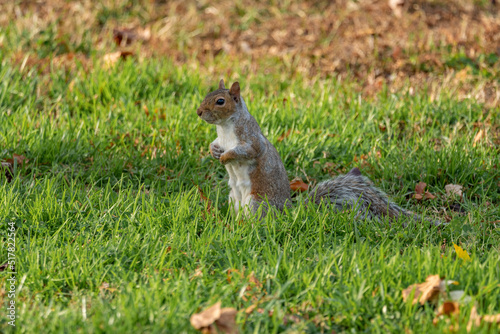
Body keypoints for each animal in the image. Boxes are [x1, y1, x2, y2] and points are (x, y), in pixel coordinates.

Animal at [197, 79, 440, 224]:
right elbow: (214, 144)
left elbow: (248, 151)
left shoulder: (251, 140)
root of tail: (288, 213)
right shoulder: (221, 138)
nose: (199, 112)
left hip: (257, 203)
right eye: (208, 93)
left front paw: (226, 156)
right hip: (234, 199)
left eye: (220, 101)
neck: (225, 128)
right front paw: (214, 152)